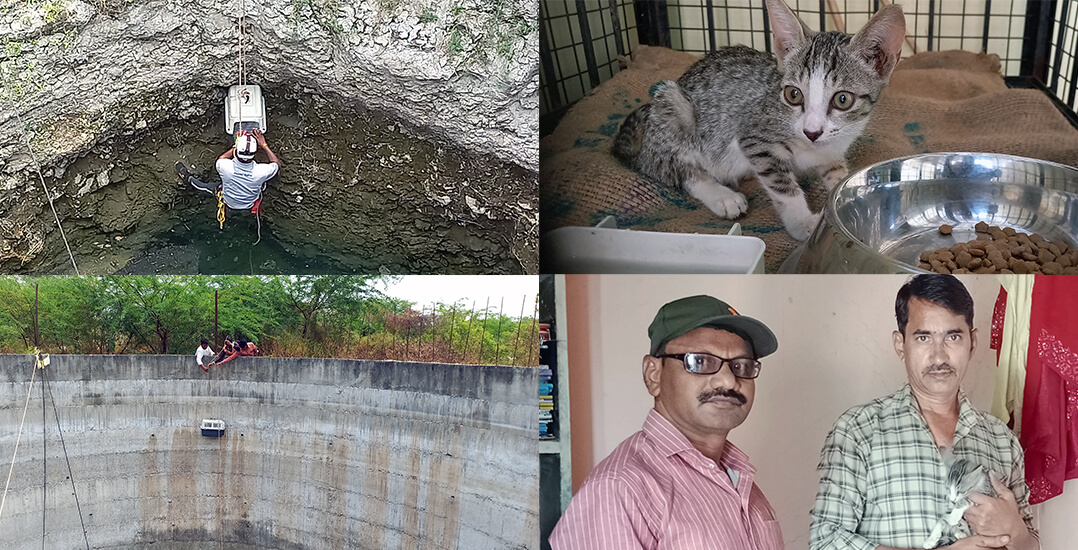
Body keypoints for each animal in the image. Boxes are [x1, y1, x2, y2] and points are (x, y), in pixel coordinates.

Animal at [612, 0, 905, 240]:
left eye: (842, 99)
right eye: (793, 94)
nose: (811, 132)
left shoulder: (832, 149)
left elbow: (837, 176)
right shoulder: (755, 139)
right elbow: (784, 188)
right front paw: (802, 224)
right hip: (675, 107)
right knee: (676, 169)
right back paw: (722, 196)